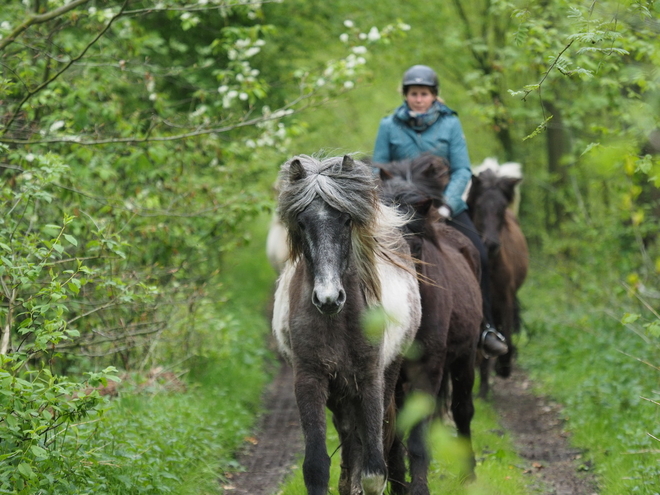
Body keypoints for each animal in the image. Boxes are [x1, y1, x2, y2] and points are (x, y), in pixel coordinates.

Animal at [270, 155, 420, 495]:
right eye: (302, 222)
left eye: (346, 220)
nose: (328, 298)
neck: (337, 322)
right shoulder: (310, 379)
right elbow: (316, 467)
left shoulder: (369, 379)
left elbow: (374, 470)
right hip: (340, 395)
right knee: (350, 440)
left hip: (386, 375)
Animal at [378, 155, 482, 492]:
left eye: (414, 246)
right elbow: (392, 431)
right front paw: (398, 484)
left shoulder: (428, 369)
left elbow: (418, 434)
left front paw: (419, 486)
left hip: (465, 359)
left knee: (462, 410)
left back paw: (469, 473)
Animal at [466, 163, 528, 400]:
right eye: (479, 206)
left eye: (502, 208)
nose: (491, 244)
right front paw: (483, 388)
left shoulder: (505, 299)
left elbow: (508, 336)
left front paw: (504, 366)